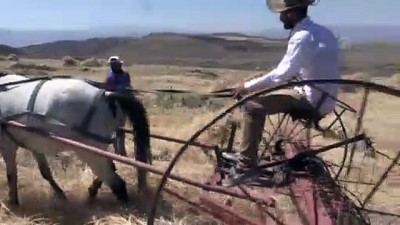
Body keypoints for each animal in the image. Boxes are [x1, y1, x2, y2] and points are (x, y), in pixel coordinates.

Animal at [0, 73, 152, 206]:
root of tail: (107, 96)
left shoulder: (7, 144)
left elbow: (11, 175)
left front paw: (13, 202)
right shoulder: (35, 144)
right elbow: (45, 172)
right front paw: (60, 194)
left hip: (89, 151)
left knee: (117, 183)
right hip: (97, 149)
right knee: (111, 170)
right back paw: (92, 192)